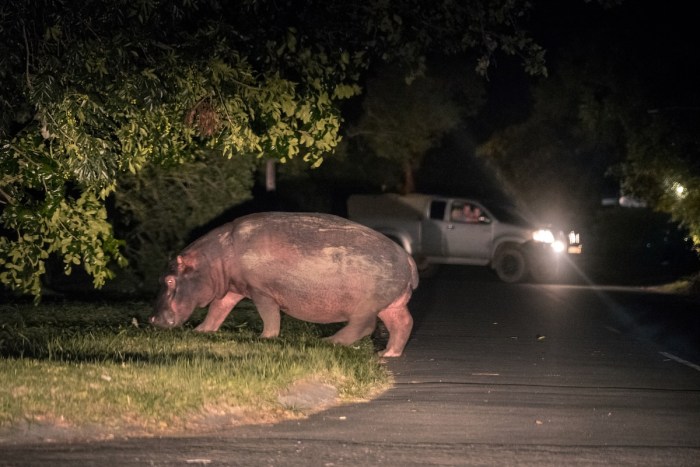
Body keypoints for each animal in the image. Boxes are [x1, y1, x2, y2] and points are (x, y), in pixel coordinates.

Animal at [150, 212, 418, 357]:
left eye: (170, 279)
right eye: (161, 277)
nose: (151, 319)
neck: (213, 259)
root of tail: (407, 257)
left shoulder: (261, 291)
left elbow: (269, 315)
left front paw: (264, 338)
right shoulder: (232, 289)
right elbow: (218, 310)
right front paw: (201, 331)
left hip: (366, 306)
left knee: (364, 326)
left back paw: (328, 342)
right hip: (392, 305)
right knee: (403, 323)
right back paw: (386, 353)